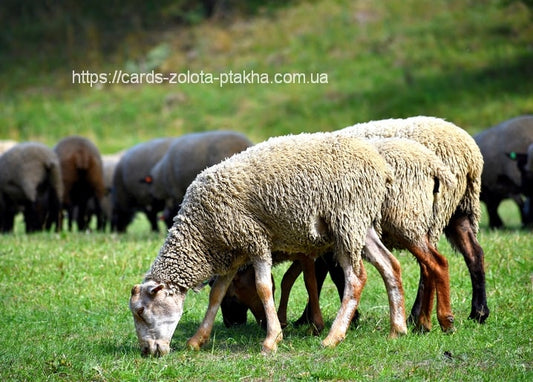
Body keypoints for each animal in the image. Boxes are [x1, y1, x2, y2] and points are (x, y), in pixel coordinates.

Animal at [129, 131, 394, 356]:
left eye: (141, 311)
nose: (146, 351)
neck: (201, 234)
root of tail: (380, 165)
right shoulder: (233, 254)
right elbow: (216, 294)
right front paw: (197, 340)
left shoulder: (255, 241)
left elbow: (263, 288)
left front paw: (272, 339)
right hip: (361, 225)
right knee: (389, 265)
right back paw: (396, 329)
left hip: (346, 220)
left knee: (356, 279)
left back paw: (333, 337)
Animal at [338, 115, 488, 326]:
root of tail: (470, 154)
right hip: (459, 210)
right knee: (474, 253)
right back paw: (478, 312)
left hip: (422, 215)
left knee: (429, 266)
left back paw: (417, 317)